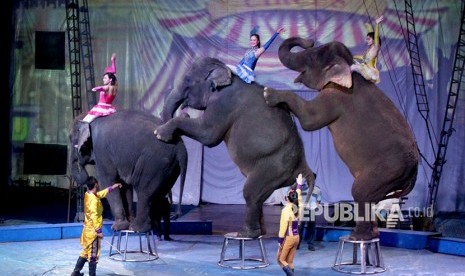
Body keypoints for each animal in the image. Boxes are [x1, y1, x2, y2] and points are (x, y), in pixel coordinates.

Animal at [156, 57, 316, 238]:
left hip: (274, 166)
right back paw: (259, 233)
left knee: (251, 192)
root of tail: (303, 164)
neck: (228, 73)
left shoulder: (223, 103)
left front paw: (160, 133)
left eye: (188, 79)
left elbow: (208, 135)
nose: (174, 215)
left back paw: (244, 234)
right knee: (259, 197)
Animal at [262, 36, 418, 239]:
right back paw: (370, 234)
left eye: (312, 57)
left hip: (387, 171)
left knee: (360, 192)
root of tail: (414, 171)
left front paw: (268, 93)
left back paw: (356, 237)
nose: (309, 41)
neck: (349, 68)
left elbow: (310, 121)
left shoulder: (336, 98)